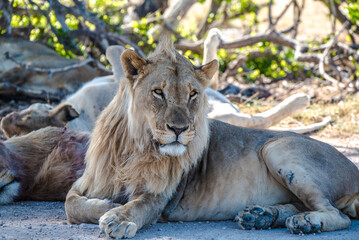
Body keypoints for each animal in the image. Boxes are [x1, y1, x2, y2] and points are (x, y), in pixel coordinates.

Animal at [60, 35, 358, 238]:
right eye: (158, 92)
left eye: (193, 94)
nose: (179, 129)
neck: (135, 146)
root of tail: (354, 171)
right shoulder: (87, 181)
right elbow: (70, 203)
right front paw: (105, 205)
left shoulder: (158, 197)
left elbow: (137, 206)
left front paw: (118, 218)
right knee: (301, 206)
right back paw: (260, 216)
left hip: (277, 147)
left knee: (337, 215)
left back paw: (307, 222)